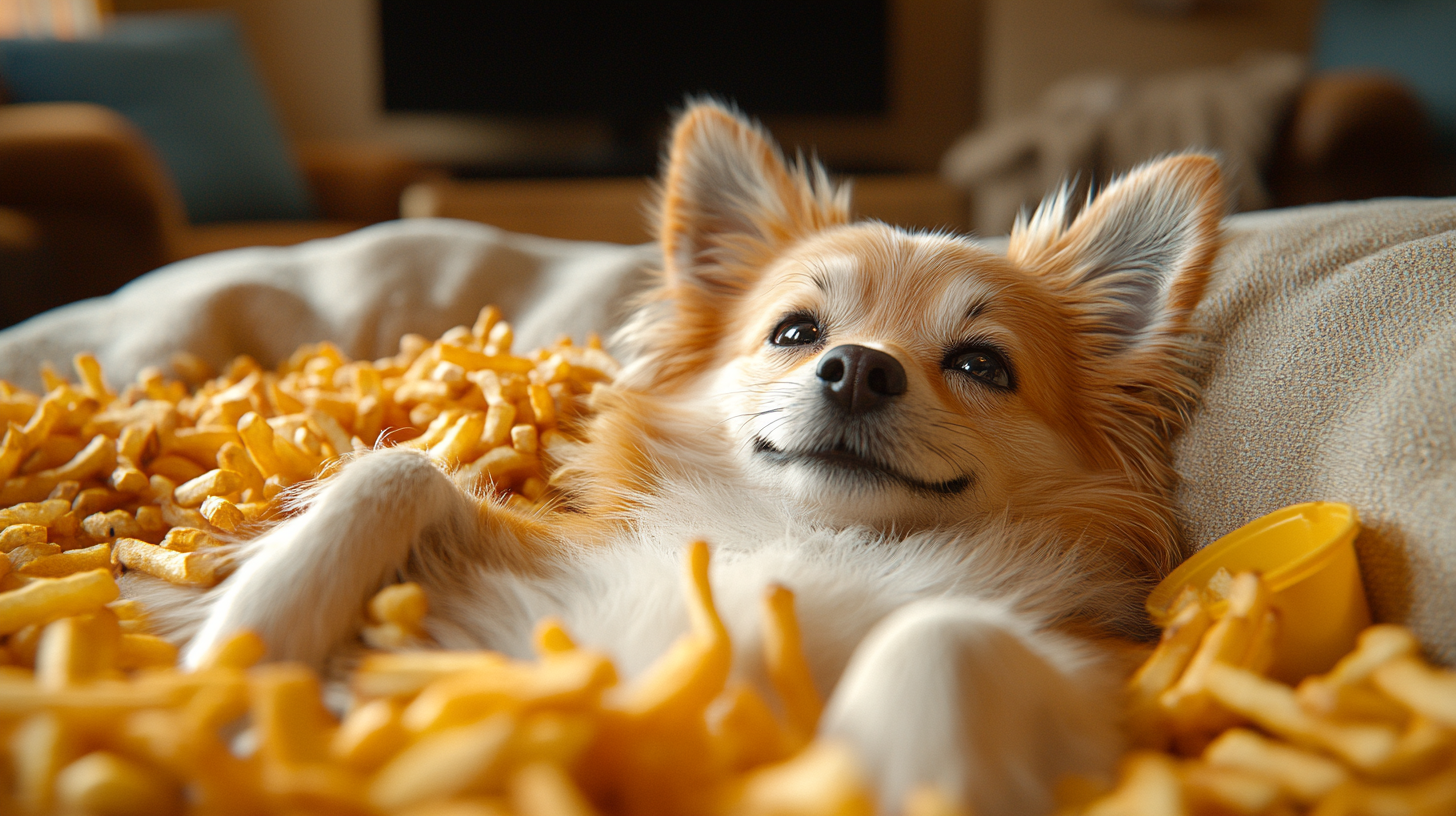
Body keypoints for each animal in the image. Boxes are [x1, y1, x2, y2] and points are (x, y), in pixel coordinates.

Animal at [176, 103, 1223, 816]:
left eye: (981, 365)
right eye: (796, 332)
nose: (858, 368)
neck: (806, 538)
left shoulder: (1099, 687)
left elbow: (939, 632)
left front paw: (898, 780)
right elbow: (391, 472)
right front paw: (235, 654)